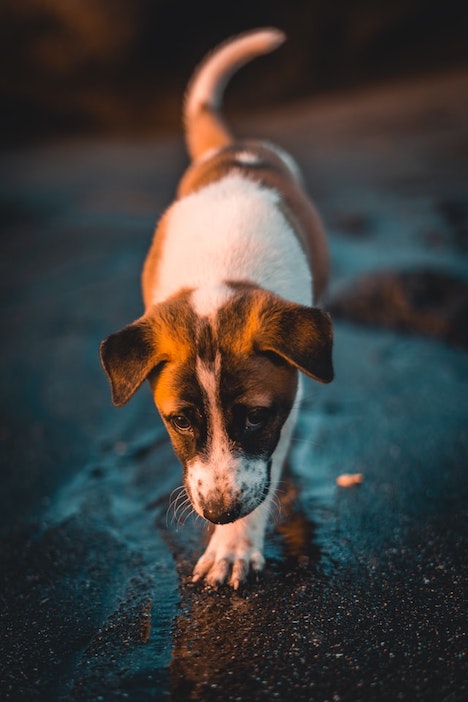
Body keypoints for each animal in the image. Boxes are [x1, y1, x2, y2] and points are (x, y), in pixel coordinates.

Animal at [99, 26, 332, 588]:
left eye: (255, 416)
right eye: (180, 421)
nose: (221, 513)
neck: (219, 276)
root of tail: (234, 147)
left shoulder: (284, 406)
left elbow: (270, 459)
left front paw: (234, 545)